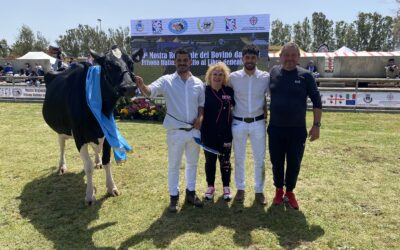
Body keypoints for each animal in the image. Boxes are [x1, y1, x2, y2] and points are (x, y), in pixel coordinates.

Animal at [41, 47, 142, 205]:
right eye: (108, 65)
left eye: (131, 63)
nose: (130, 87)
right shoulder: (79, 136)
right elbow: (87, 167)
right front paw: (89, 196)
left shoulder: (106, 131)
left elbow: (107, 161)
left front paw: (111, 187)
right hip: (61, 129)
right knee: (62, 144)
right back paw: (62, 166)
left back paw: (97, 161)